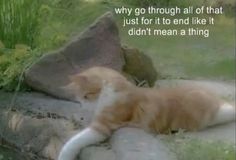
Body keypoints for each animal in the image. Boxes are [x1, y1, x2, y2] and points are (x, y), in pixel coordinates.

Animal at [58, 66, 235, 160]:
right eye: (78, 100)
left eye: (86, 96)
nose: (83, 107)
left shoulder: (103, 126)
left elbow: (73, 141)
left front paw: (63, 155)